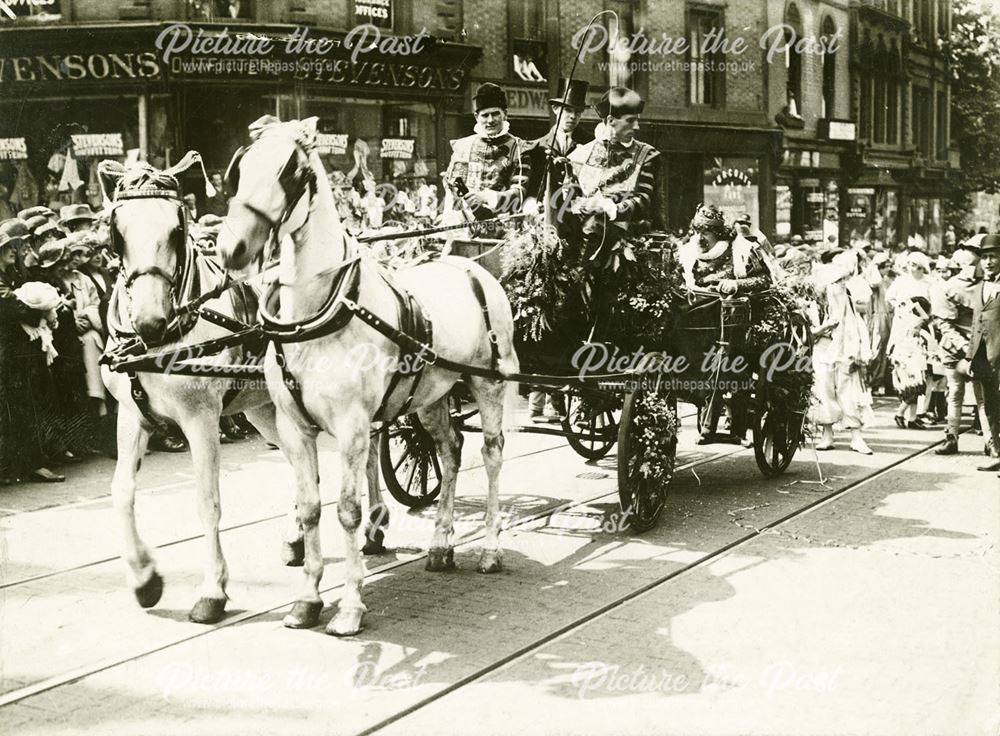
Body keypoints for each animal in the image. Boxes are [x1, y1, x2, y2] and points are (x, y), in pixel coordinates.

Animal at [95, 155, 388, 628]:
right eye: (116, 233)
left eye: (176, 230)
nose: (149, 321)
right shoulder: (132, 415)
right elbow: (121, 492)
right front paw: (144, 580)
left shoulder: (200, 420)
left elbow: (207, 502)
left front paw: (212, 591)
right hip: (266, 410)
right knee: (303, 470)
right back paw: (296, 538)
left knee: (374, 446)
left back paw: (376, 524)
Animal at [216, 118, 520, 636]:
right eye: (240, 169)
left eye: (290, 172)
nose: (231, 247)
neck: (320, 313)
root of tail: (471, 266)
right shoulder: (294, 429)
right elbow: (311, 508)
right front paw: (307, 600)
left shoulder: (354, 427)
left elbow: (348, 510)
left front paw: (350, 607)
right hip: (432, 396)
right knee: (450, 450)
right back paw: (441, 544)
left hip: (489, 384)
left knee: (492, 454)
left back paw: (491, 549)